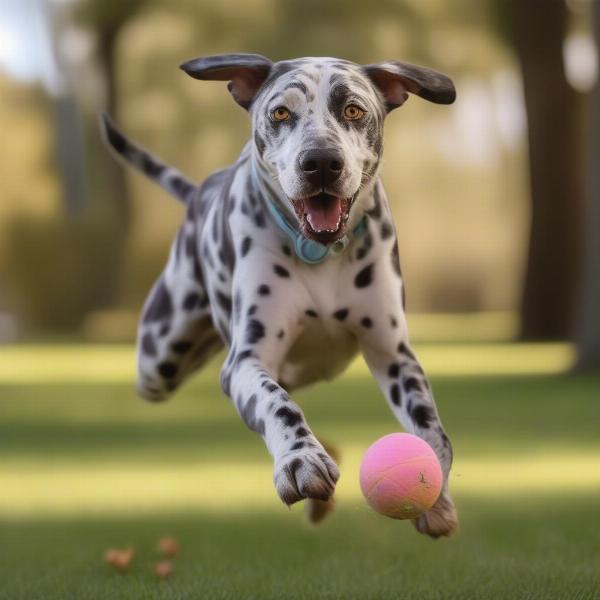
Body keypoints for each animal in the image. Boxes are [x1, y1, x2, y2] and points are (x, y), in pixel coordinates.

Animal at [101, 54, 460, 536]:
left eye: (353, 110)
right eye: (280, 113)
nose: (321, 162)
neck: (318, 252)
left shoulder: (394, 353)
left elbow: (432, 429)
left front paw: (435, 495)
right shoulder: (245, 362)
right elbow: (277, 404)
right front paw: (300, 460)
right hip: (158, 362)